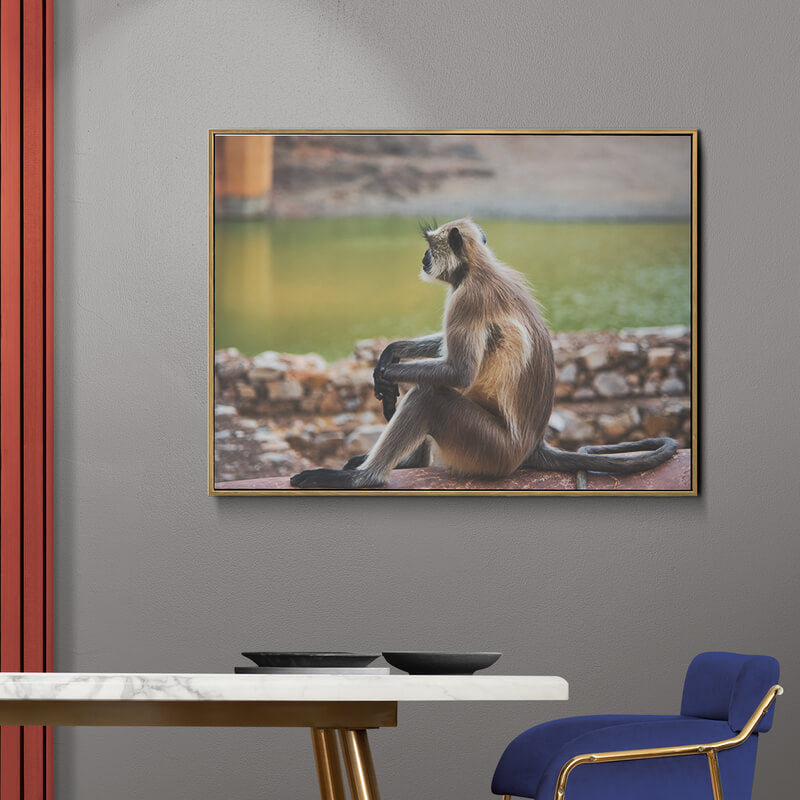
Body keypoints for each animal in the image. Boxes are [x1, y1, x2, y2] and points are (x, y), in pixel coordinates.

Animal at [290, 218, 678, 489]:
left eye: (430, 247)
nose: (423, 258)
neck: (477, 268)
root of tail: (532, 446)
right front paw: (390, 353)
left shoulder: (467, 298)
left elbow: (459, 371)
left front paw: (385, 375)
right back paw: (408, 464)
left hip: (490, 451)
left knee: (430, 394)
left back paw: (366, 478)